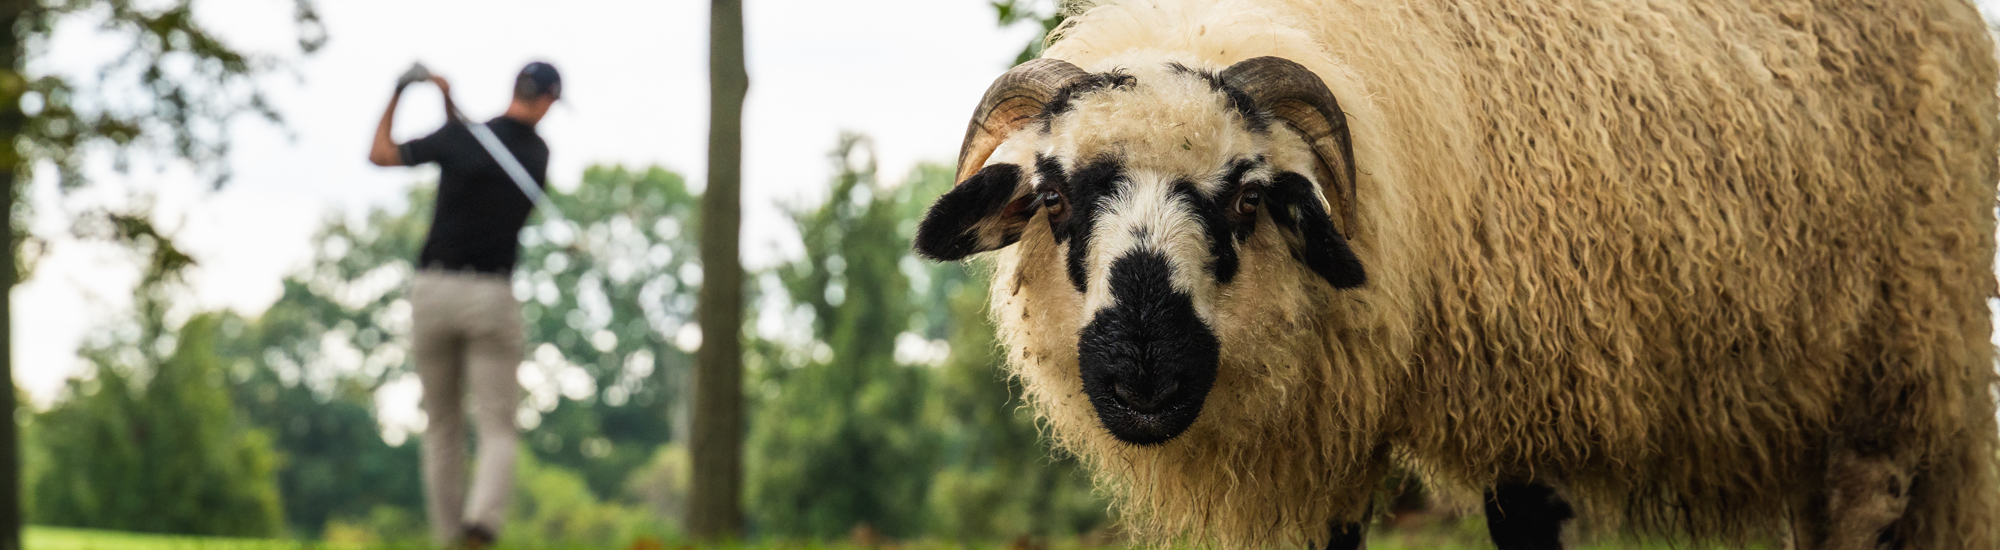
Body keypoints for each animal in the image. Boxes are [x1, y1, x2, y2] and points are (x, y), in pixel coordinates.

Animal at [911, 0, 2000, 548]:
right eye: (1054, 199)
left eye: (1249, 200)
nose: (1143, 370)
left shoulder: (1541, 386)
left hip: (1897, 363)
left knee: (1866, 505)